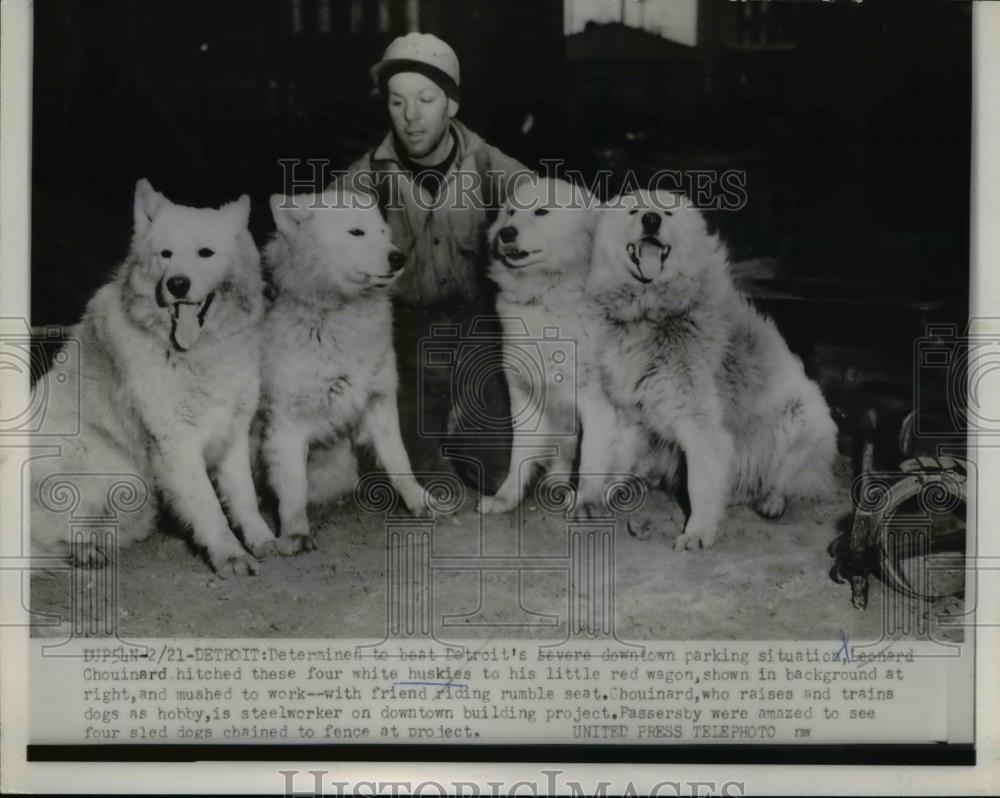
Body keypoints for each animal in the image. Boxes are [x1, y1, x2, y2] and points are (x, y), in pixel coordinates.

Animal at [30, 180, 276, 576]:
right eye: (166, 254)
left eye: (205, 253)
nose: (177, 284)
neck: (197, 353)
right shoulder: (177, 442)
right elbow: (209, 506)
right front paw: (231, 555)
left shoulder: (232, 434)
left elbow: (244, 497)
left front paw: (262, 540)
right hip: (101, 467)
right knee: (48, 540)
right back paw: (84, 552)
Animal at [580, 190, 836, 552]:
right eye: (634, 211)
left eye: (667, 213)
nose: (651, 219)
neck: (652, 311)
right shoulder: (628, 408)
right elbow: (605, 455)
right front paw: (592, 500)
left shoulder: (700, 425)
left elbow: (701, 486)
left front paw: (698, 533)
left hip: (800, 418)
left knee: (780, 480)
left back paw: (769, 501)